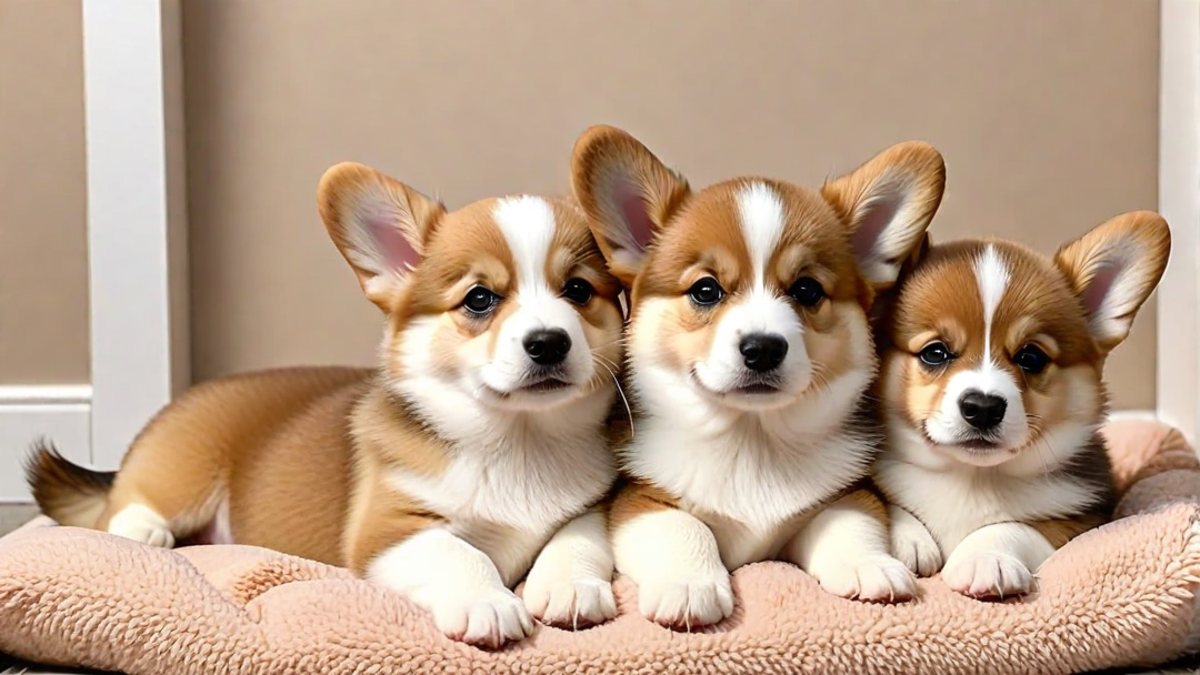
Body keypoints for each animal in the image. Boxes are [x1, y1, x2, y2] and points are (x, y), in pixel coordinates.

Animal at [25, 162, 628, 648]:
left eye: (578, 290)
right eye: (480, 299)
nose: (549, 342)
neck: (518, 437)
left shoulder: (593, 504)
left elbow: (577, 537)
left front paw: (569, 587)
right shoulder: (388, 531)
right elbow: (461, 553)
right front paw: (488, 602)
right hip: (182, 476)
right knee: (121, 509)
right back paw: (143, 533)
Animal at [571, 126, 945, 624]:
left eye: (806, 290)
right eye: (705, 290)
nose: (763, 348)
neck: (752, 440)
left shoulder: (839, 497)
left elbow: (851, 518)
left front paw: (871, 566)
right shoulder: (640, 500)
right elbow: (682, 527)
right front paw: (688, 586)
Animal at [873, 210, 1171, 593]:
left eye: (1031, 357)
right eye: (935, 352)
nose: (983, 408)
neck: (972, 478)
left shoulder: (1081, 519)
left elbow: (1016, 527)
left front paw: (985, 558)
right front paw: (907, 539)